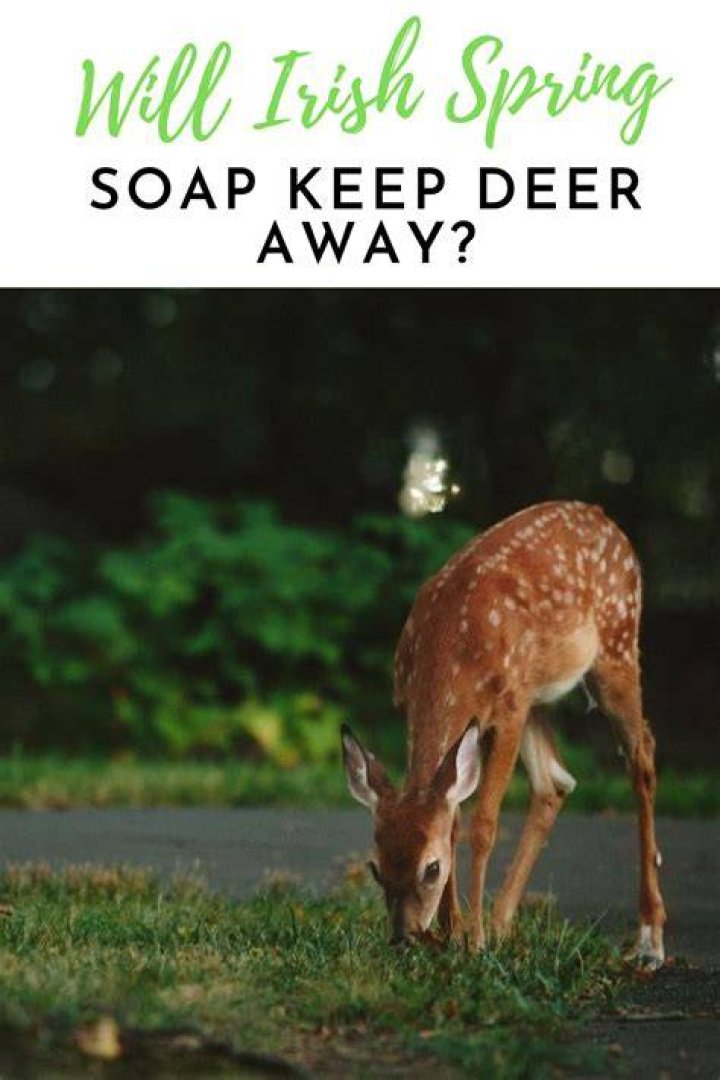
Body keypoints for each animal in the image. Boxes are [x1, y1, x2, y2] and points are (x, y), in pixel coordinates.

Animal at [342, 500, 666, 968]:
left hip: (616, 645)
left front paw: (472, 941)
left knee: (642, 756)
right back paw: (501, 924)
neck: (450, 647)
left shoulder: (508, 711)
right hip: (539, 695)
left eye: (431, 869)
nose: (404, 938)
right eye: (376, 868)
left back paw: (650, 940)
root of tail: (603, 517)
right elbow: (453, 817)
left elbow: (482, 825)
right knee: (555, 783)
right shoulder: (418, 705)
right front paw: (453, 933)